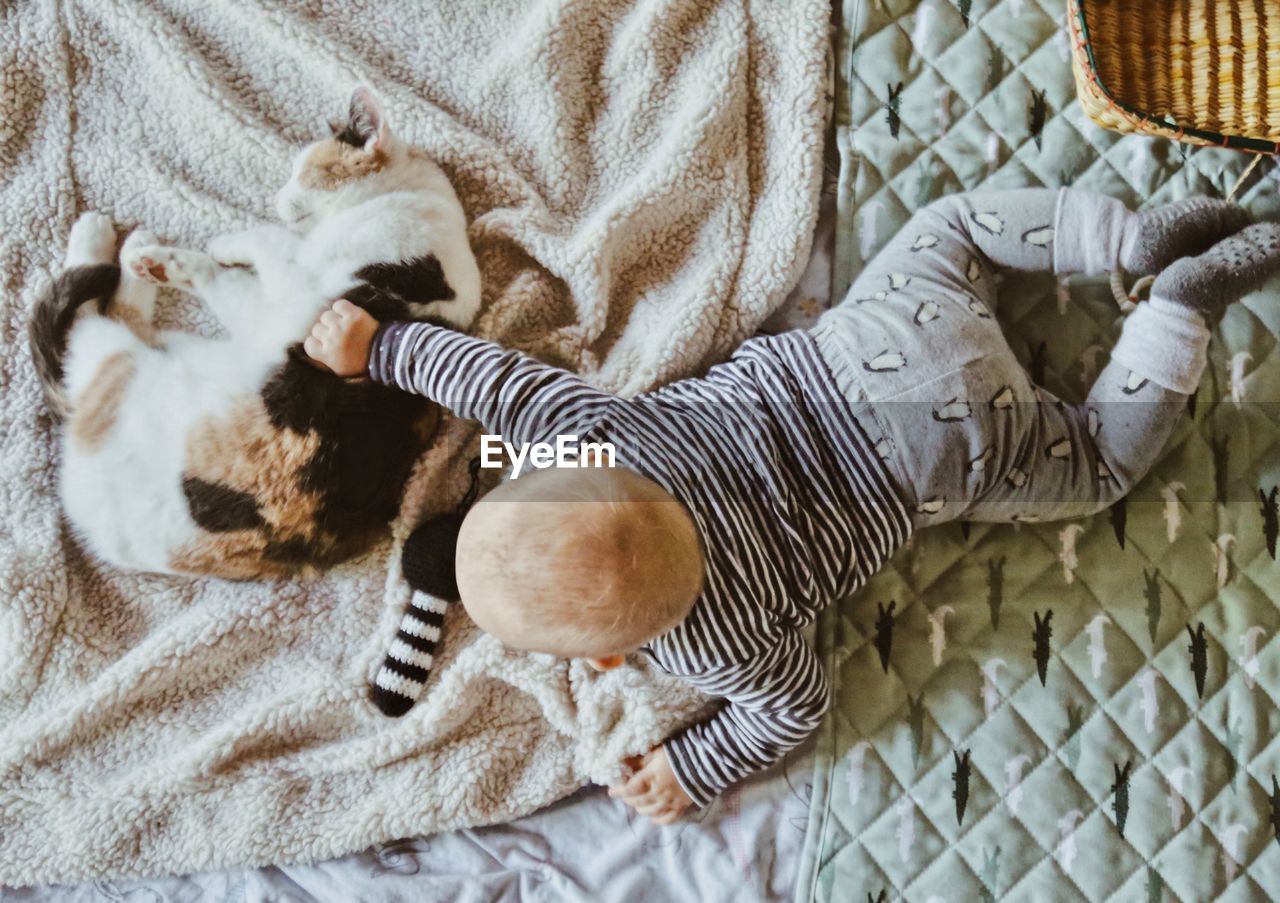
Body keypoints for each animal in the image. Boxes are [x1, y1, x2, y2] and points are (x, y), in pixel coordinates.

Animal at [31, 88, 481, 581]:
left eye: (301, 171)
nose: (276, 196)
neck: (410, 199)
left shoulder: (290, 295)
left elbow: (258, 246)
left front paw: (222, 246)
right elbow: (259, 252)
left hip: (115, 360)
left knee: (93, 320)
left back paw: (117, 244)